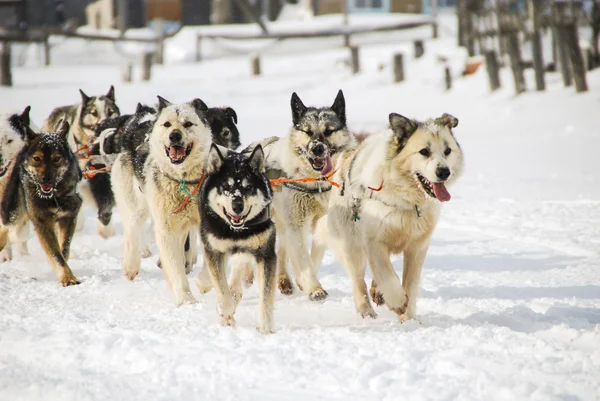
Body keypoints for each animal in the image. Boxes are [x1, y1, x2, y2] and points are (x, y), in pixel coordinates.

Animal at [314, 111, 464, 320]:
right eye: (424, 151)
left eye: (448, 150)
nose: (444, 172)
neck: (406, 202)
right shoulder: (374, 243)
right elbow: (389, 278)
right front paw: (398, 303)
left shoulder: (417, 247)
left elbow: (410, 283)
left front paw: (409, 319)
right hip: (352, 245)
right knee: (358, 280)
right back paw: (366, 310)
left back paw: (378, 294)